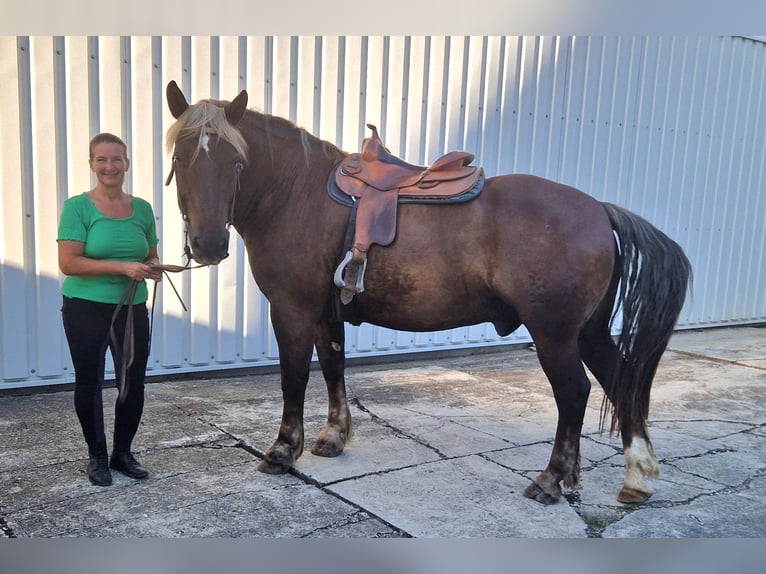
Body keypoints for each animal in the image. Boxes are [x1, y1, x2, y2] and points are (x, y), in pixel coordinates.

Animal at [165, 80, 692, 504]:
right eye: (178, 159)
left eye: (236, 162)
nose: (208, 245)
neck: (298, 193)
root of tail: (600, 210)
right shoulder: (326, 312)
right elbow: (333, 367)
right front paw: (333, 437)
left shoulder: (292, 309)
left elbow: (293, 377)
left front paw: (281, 449)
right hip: (589, 331)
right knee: (620, 381)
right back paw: (637, 477)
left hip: (555, 334)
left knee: (575, 392)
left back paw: (550, 479)